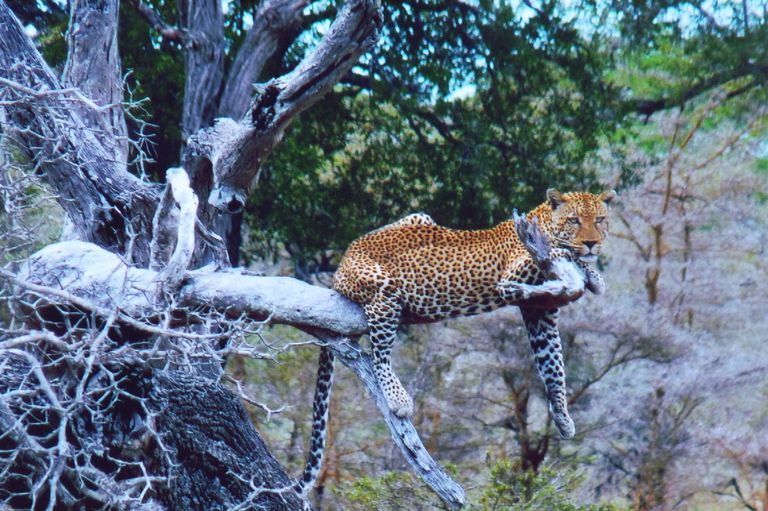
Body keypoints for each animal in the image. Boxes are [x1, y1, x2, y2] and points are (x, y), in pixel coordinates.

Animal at [294, 189, 615, 497]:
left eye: (600, 220)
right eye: (574, 220)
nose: (592, 243)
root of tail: (343, 260)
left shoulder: (540, 314)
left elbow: (553, 366)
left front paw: (562, 416)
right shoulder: (513, 274)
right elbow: (560, 252)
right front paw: (583, 263)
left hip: (419, 217)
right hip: (384, 290)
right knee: (379, 354)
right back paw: (398, 399)